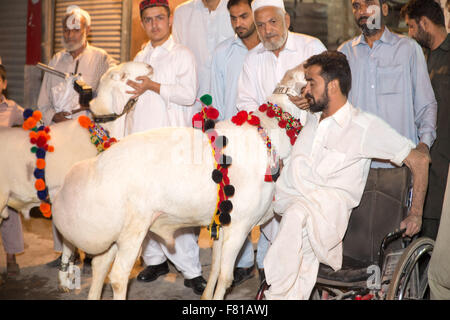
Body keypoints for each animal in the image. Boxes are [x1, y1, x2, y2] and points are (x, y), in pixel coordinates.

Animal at [51, 62, 306, 300]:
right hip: (134, 228)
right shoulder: (240, 224)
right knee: (118, 276)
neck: (267, 134)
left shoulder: (223, 220)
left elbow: (215, 269)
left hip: (117, 231)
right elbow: (225, 276)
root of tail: (97, 165)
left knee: (100, 266)